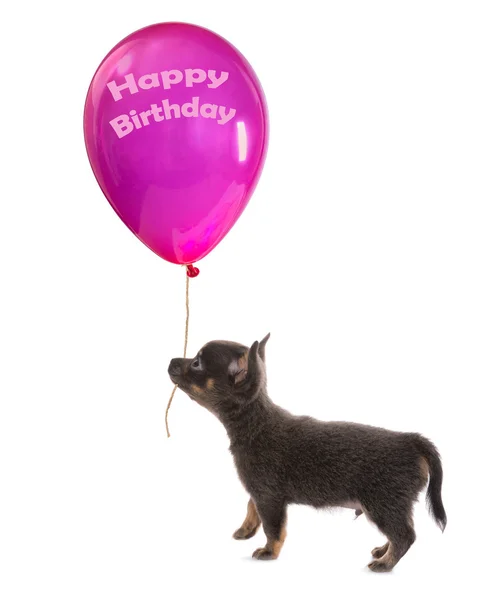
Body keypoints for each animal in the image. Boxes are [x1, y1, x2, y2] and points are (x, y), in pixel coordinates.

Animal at [169, 336, 446, 568]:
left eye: (196, 363)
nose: (171, 361)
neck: (256, 424)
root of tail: (412, 441)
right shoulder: (258, 492)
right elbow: (251, 507)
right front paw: (246, 530)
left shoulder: (269, 496)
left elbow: (273, 528)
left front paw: (269, 552)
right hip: (390, 507)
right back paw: (382, 551)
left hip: (382, 505)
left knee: (405, 536)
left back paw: (385, 563)